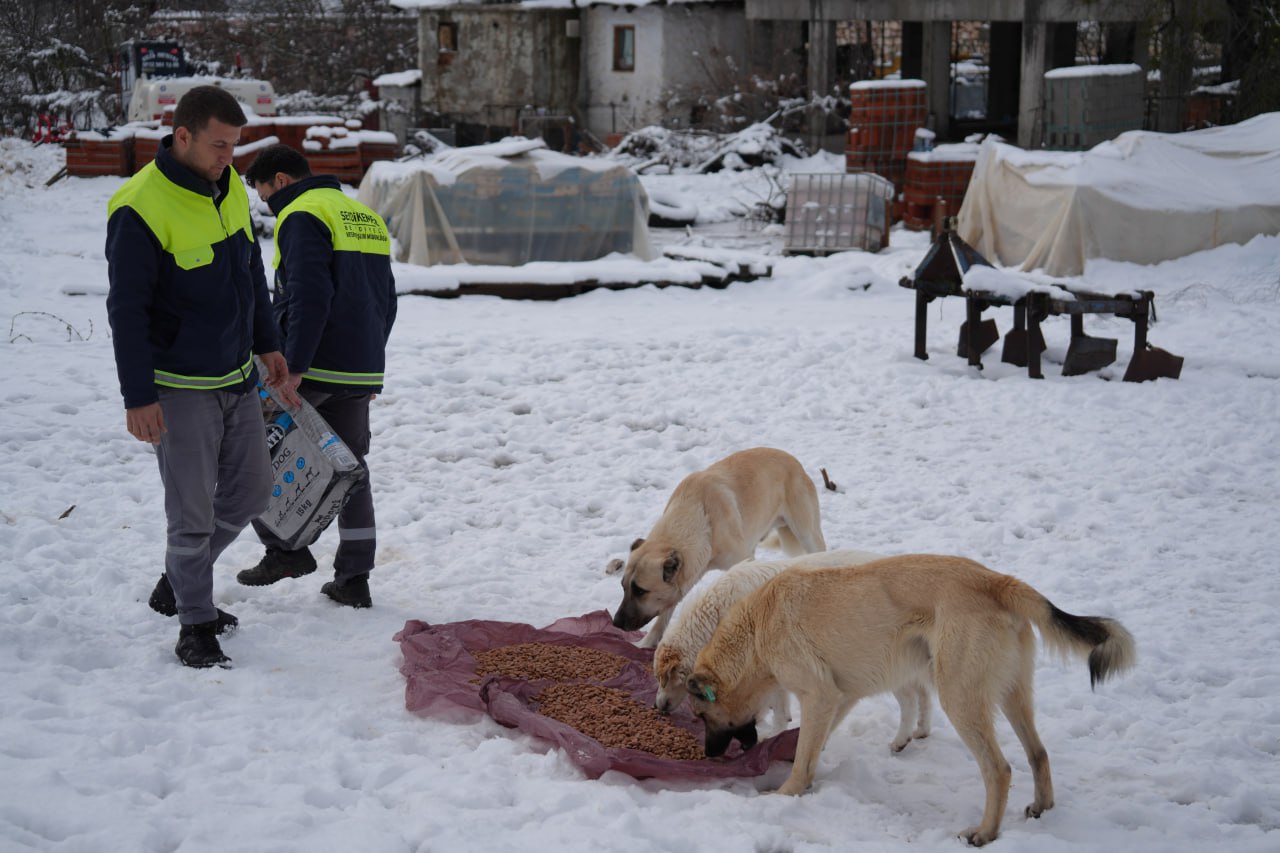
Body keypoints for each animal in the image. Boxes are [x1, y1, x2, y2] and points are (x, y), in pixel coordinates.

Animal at [611, 445, 829, 645]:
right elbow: (664, 614)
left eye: (640, 591)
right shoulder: (684, 579)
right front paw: (645, 644)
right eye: (623, 586)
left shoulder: (742, 561)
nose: (616, 623)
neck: (700, 518)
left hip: (807, 534)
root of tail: (794, 461)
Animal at [686, 550, 1136, 845]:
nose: (709, 757)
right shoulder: (838, 697)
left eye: (702, 717)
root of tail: (994, 580)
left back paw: (986, 832)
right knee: (1038, 753)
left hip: (960, 698)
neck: (755, 630)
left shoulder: (818, 695)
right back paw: (1041, 806)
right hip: (1011, 694)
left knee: (999, 769)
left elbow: (803, 757)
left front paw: (786, 793)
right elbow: (813, 746)